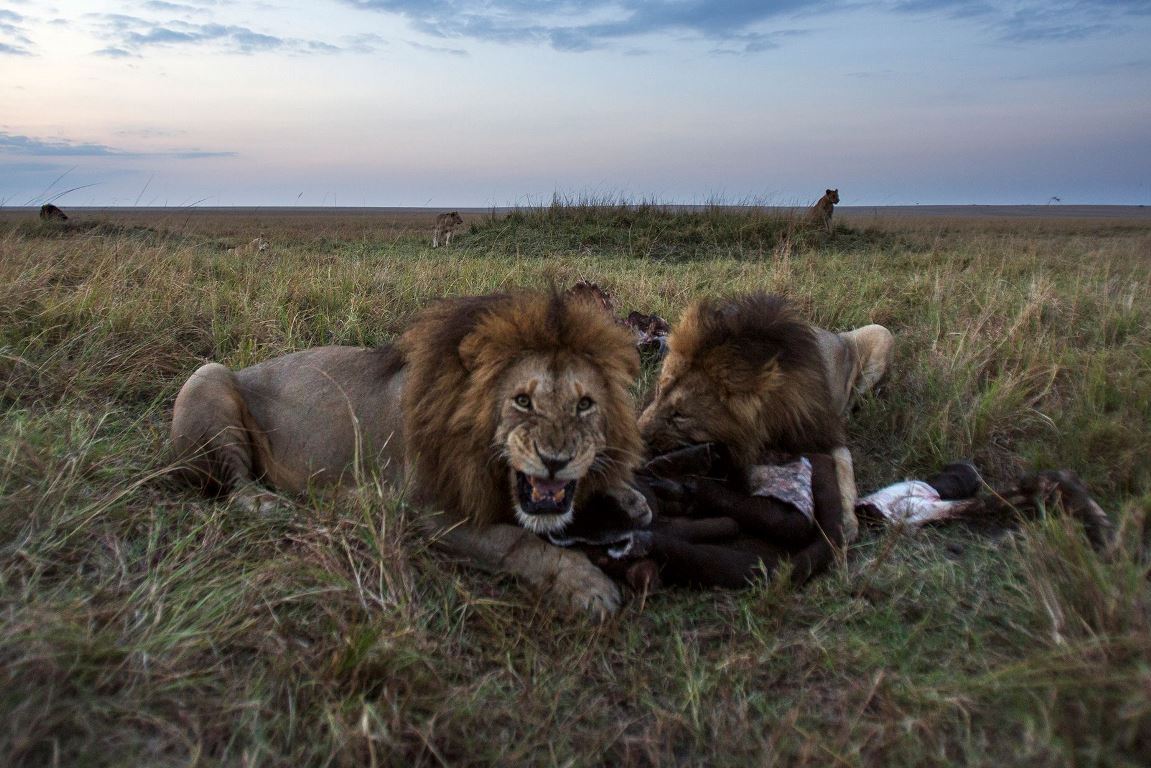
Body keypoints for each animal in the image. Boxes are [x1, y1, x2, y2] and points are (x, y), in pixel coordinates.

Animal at [173, 291, 653, 621]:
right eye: (522, 401)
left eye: (585, 404)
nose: (556, 459)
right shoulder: (429, 511)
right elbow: (517, 542)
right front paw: (585, 583)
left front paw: (627, 497)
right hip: (208, 376)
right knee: (236, 487)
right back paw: (276, 504)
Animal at [639, 292, 888, 541]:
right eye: (659, 391)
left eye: (680, 415)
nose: (638, 436)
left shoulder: (823, 433)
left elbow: (844, 470)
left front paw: (845, 523)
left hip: (881, 333)